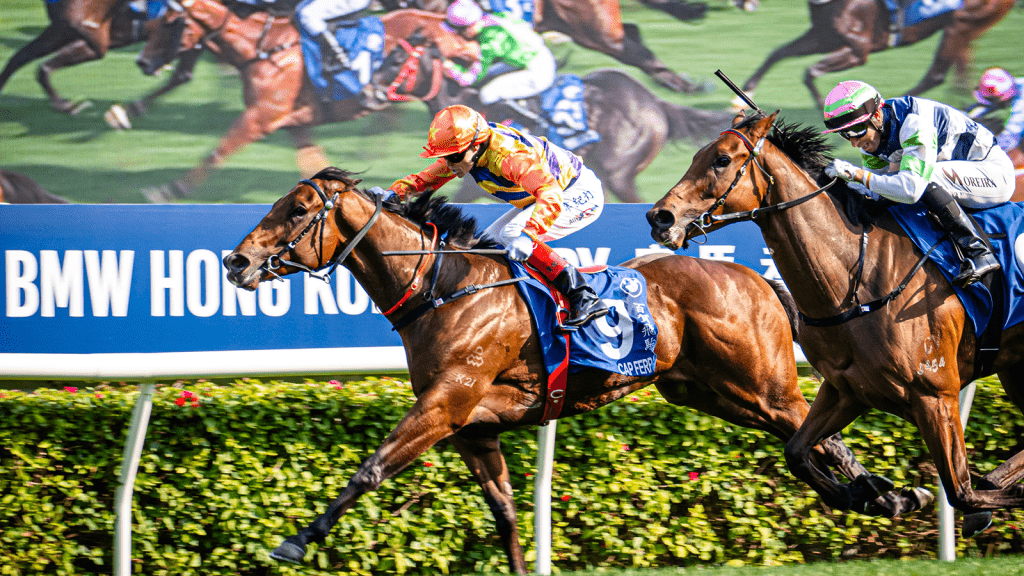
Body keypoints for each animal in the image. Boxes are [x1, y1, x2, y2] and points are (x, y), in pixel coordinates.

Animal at [0, 0, 199, 115]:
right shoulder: (60, 29)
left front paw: (65, 105)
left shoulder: (94, 42)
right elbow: (19, 58)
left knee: (182, 73)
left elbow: (43, 67)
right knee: (183, 73)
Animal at [133, 1, 472, 201]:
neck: (263, 49)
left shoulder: (260, 117)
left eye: (170, 22)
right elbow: (316, 166)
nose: (143, 62)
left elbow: (217, 152)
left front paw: (168, 190)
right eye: (153, 23)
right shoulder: (296, 125)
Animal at [222, 167, 928, 572]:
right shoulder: (474, 428)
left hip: (762, 383)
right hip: (712, 393)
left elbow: (369, 470)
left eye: (296, 210)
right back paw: (888, 495)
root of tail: (754, 276)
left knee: (815, 434)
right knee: (812, 438)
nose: (236, 262)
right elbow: (506, 514)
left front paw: (293, 542)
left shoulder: (446, 403)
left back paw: (888, 494)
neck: (443, 289)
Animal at [646, 112, 1024, 537]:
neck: (857, 280)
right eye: (697, 155)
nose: (660, 217)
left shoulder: (935, 393)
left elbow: (962, 491)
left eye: (722, 160)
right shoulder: (847, 388)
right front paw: (871, 493)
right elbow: (796, 452)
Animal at [737, 0, 1015, 107]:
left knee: (936, 75)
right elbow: (778, 52)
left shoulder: (859, 49)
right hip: (963, 29)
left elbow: (810, 71)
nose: (744, 4)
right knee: (960, 70)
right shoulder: (823, 36)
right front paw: (746, 91)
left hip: (960, 23)